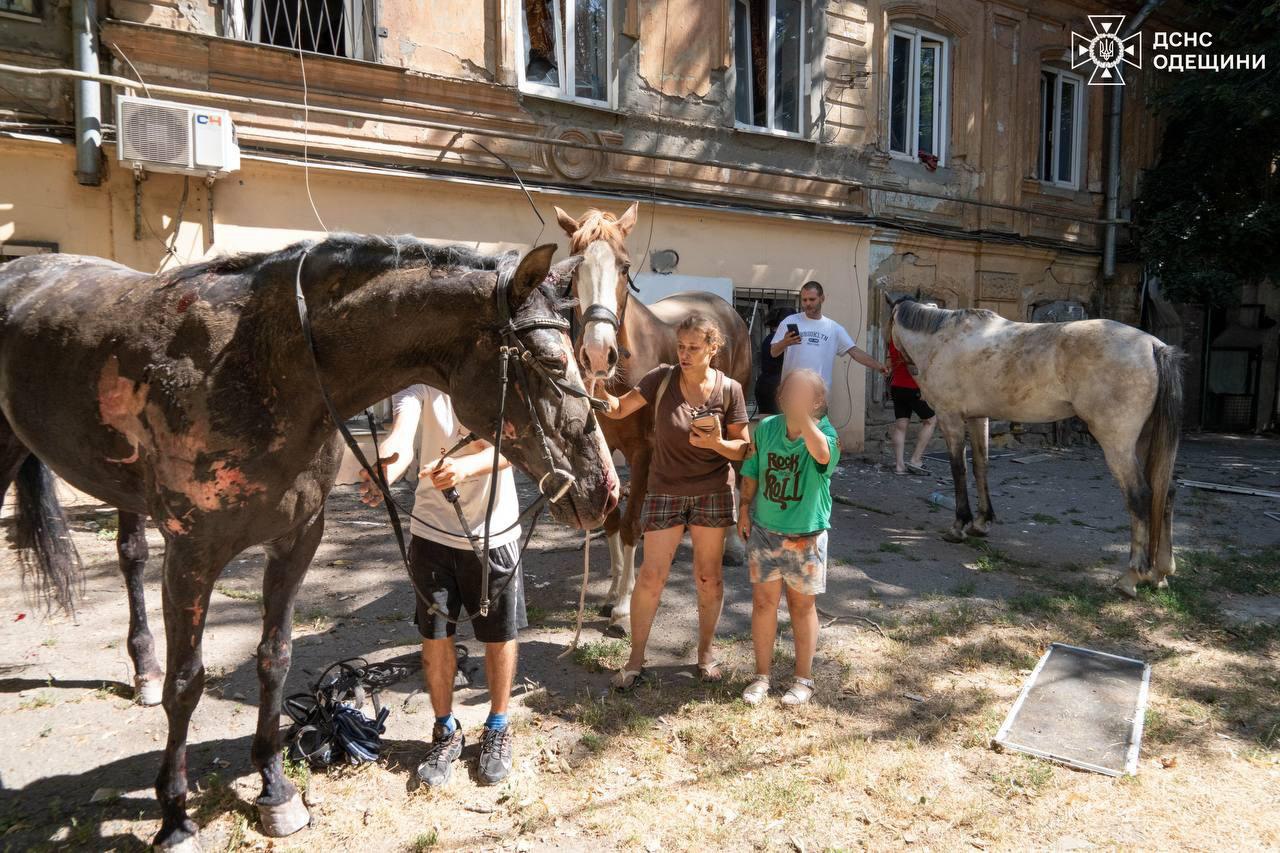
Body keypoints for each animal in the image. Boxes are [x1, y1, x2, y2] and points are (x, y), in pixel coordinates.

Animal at [0, 235, 619, 850]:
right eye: (553, 361)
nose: (605, 490)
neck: (267, 366)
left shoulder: (297, 540)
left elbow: (274, 660)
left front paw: (275, 793)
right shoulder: (192, 556)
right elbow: (188, 682)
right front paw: (175, 818)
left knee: (130, 555)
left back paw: (143, 671)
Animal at [885, 296, 1183, 597]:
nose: (889, 370)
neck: (943, 338)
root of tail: (1153, 346)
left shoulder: (950, 418)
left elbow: (959, 471)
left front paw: (959, 526)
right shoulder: (978, 418)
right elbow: (981, 467)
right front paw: (981, 522)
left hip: (1117, 443)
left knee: (1140, 496)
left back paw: (1131, 577)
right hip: (1144, 442)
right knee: (1165, 492)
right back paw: (1160, 572)